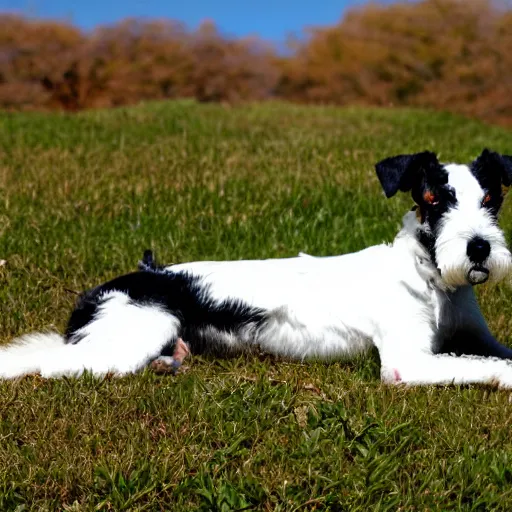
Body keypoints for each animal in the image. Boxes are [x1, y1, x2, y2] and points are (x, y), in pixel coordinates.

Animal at [3, 146, 512, 386]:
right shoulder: (408, 363)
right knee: (51, 366)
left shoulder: (478, 336)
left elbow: (488, 352)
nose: (479, 249)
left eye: (492, 199)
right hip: (134, 333)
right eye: (432, 200)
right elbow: (482, 365)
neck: (432, 280)